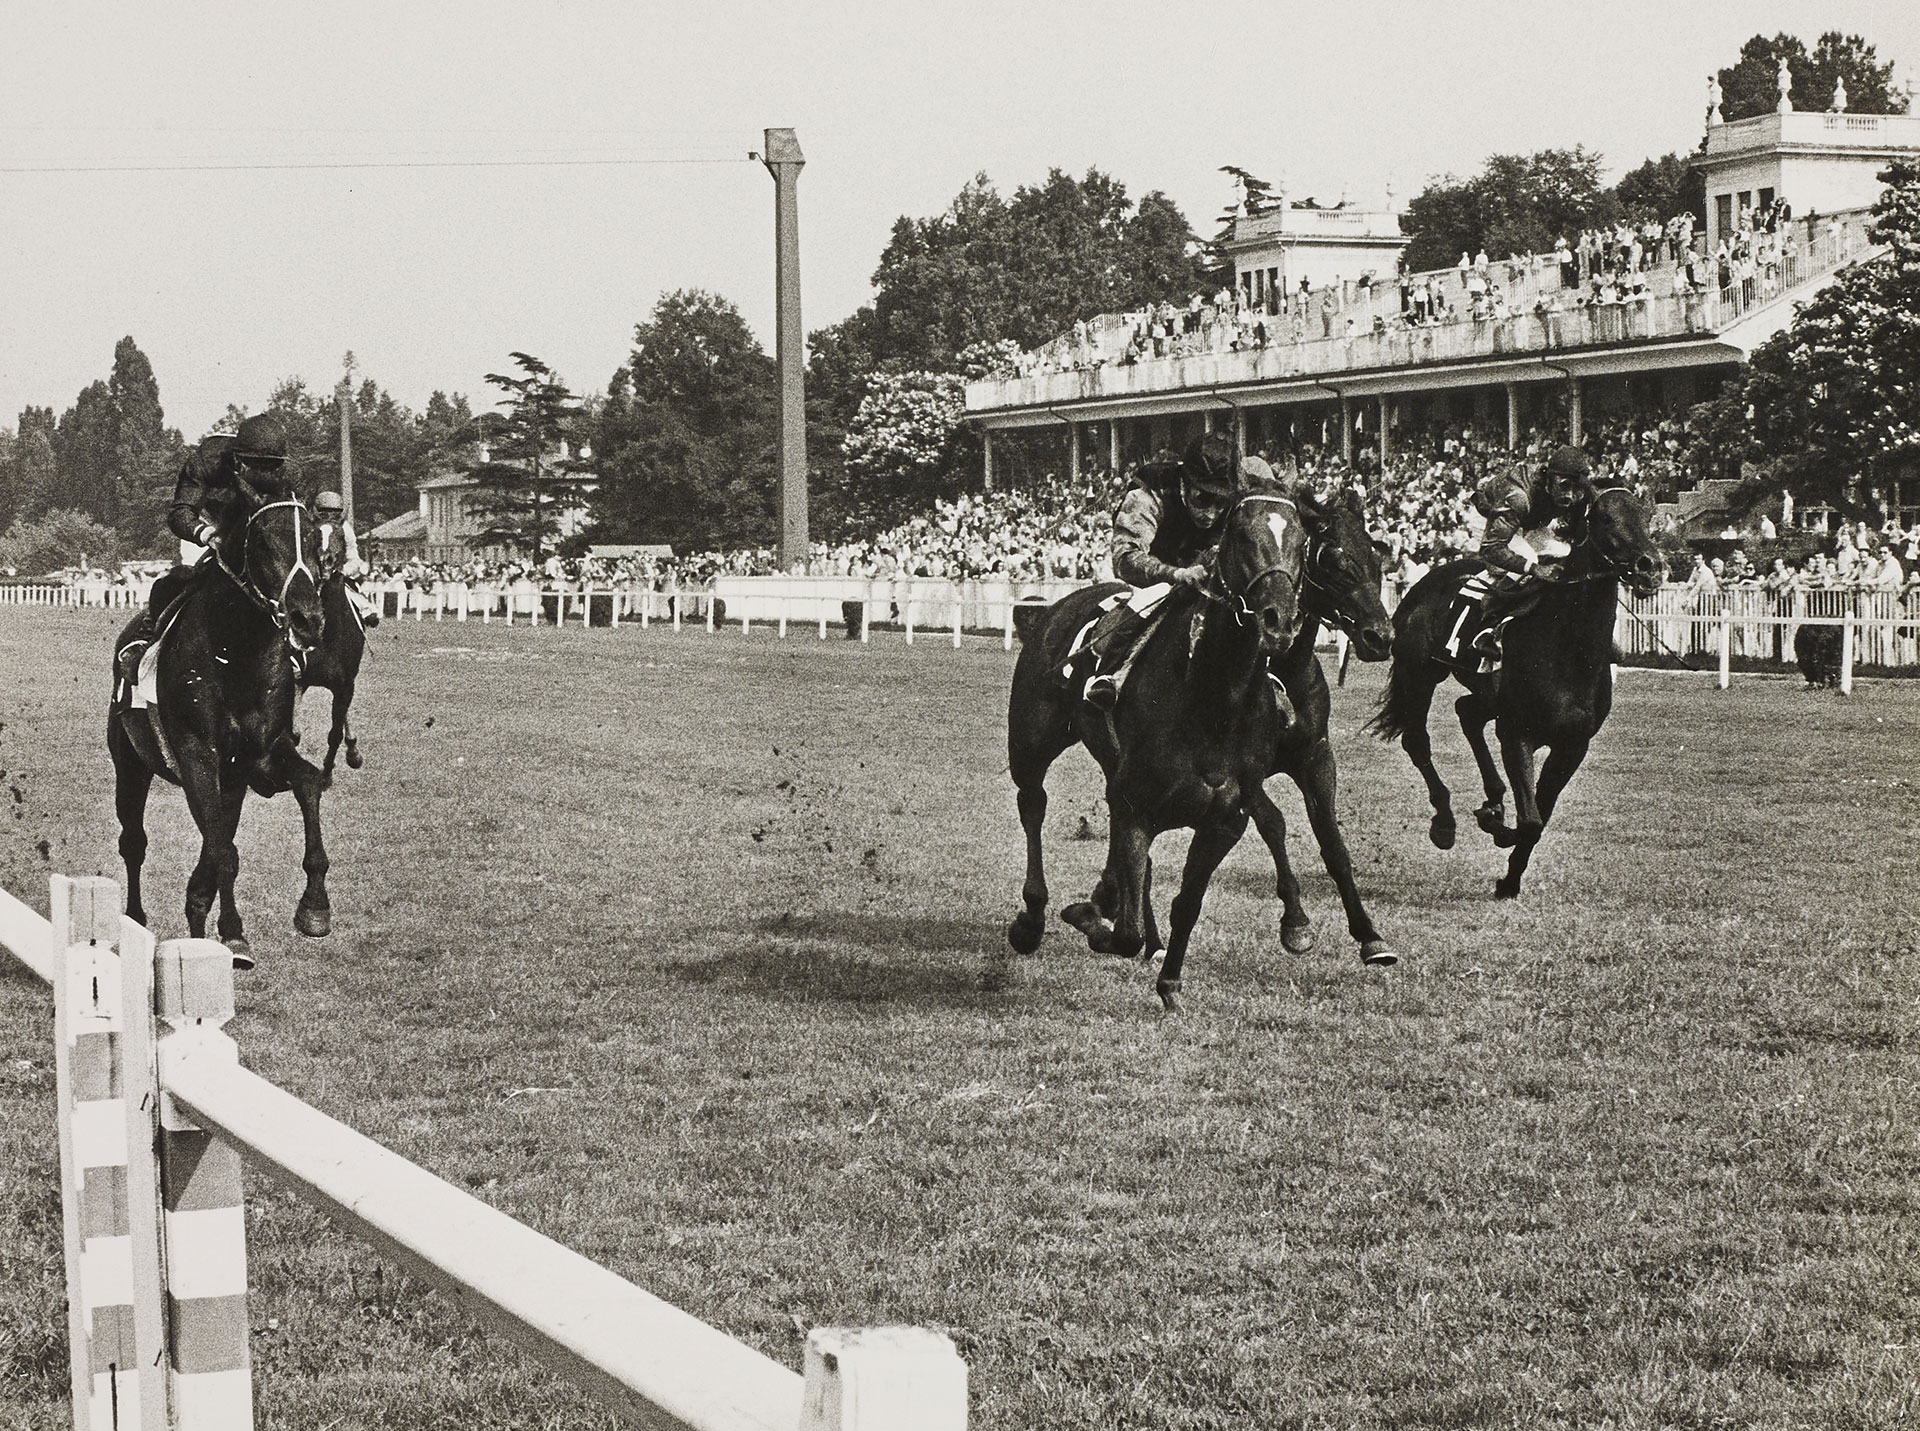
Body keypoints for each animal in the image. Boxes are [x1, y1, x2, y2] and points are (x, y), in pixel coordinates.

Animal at [110, 480, 334, 960]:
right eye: (264, 542)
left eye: (314, 541)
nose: (308, 619)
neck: (237, 651)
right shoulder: (198, 757)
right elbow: (223, 851)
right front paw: (233, 931)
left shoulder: (260, 757)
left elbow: (308, 783)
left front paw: (314, 906)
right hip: (130, 765)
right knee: (134, 843)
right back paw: (135, 920)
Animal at [1006, 476, 1305, 1006]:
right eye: (1240, 536)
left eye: (1303, 538)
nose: (1279, 620)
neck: (1213, 703)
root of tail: (1051, 609)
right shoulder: (1135, 807)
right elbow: (1124, 933)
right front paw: (1090, 920)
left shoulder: (1223, 821)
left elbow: (1186, 902)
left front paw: (1169, 981)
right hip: (1030, 742)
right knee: (1032, 804)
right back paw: (1032, 918)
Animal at [1367, 485, 1666, 898]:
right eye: (1605, 518)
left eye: (1647, 516)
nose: (1649, 566)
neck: (1567, 651)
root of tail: (1427, 579)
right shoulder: (1516, 734)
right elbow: (1530, 821)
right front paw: (1498, 833)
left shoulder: (1572, 745)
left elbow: (1540, 816)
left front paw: (1508, 876)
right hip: (1419, 674)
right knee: (1418, 740)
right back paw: (1445, 822)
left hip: (1483, 695)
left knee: (1466, 711)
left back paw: (1493, 799)